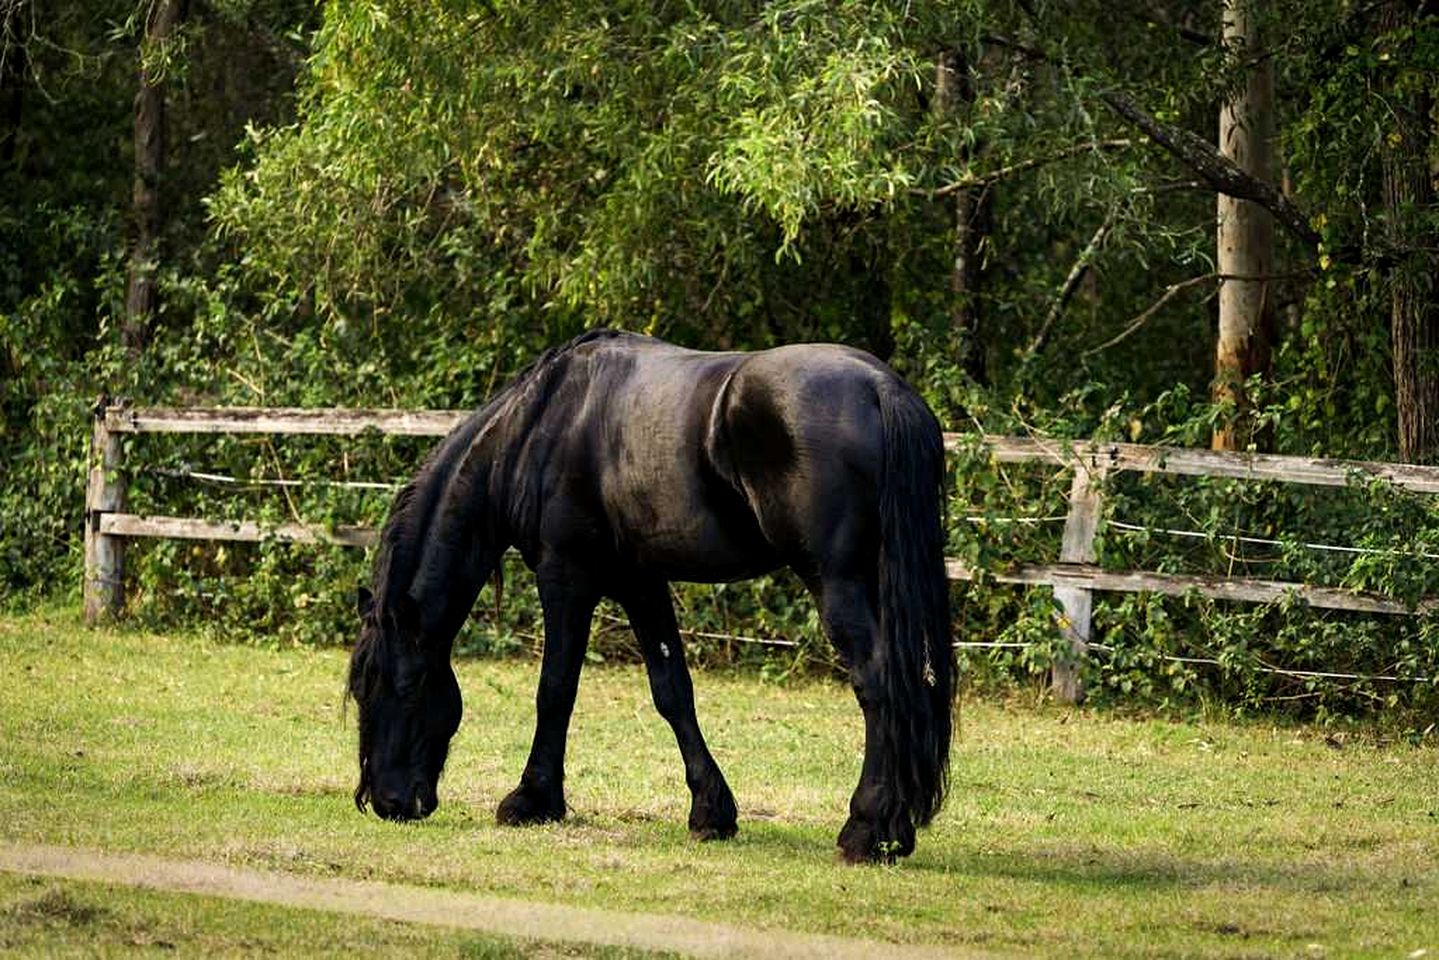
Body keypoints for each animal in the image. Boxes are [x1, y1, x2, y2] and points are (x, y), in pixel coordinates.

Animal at [346, 329, 954, 862]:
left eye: (403, 685)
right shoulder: (641, 582)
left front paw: (532, 800)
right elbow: (672, 692)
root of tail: (882, 389)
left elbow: (555, 690)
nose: (388, 800)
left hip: (836, 582)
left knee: (879, 684)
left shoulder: (566, 576)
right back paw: (895, 828)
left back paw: (866, 829)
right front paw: (711, 811)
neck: (539, 429)